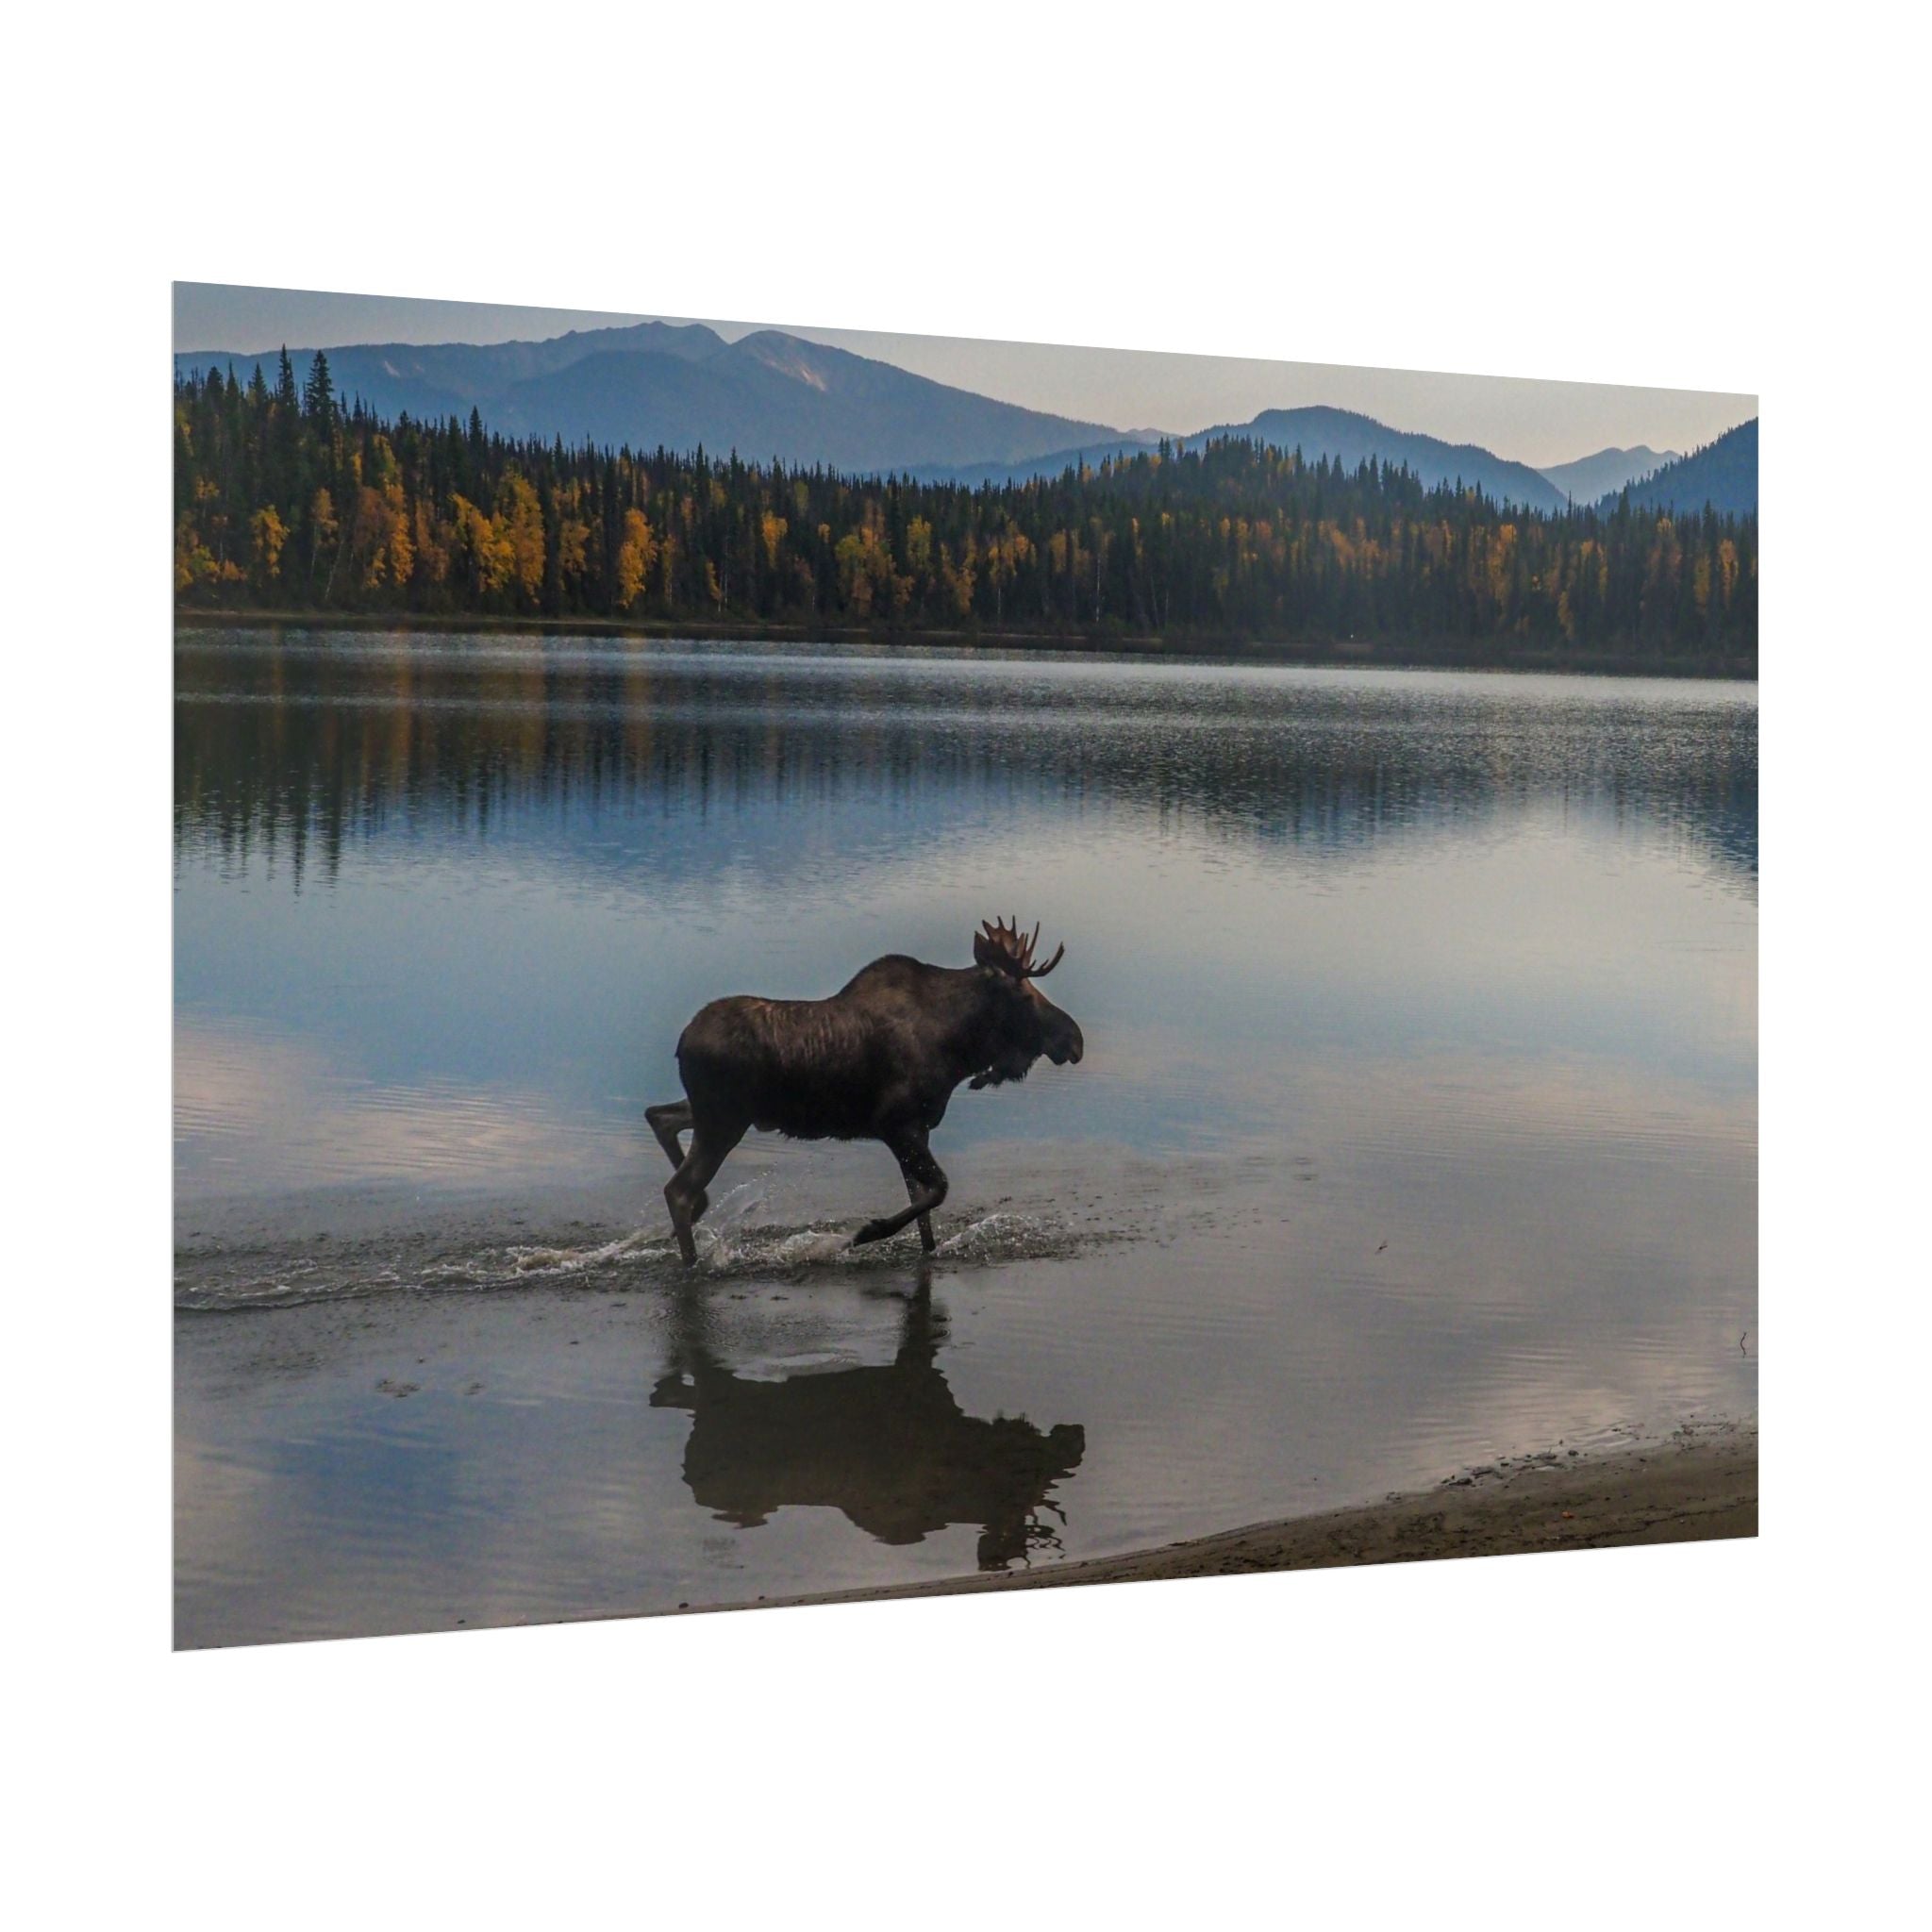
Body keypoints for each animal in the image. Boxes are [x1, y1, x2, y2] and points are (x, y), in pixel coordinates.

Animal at [646, 918, 1084, 1265]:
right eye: (1024, 995)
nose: (1075, 1039)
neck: (957, 1049)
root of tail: (682, 1043)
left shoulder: (918, 1130)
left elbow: (924, 1210)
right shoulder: (895, 1124)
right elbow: (937, 1191)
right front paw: (864, 1233)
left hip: (719, 1113)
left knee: (660, 1117)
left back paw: (698, 1212)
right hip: (723, 1120)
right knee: (677, 1189)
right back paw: (692, 1258)